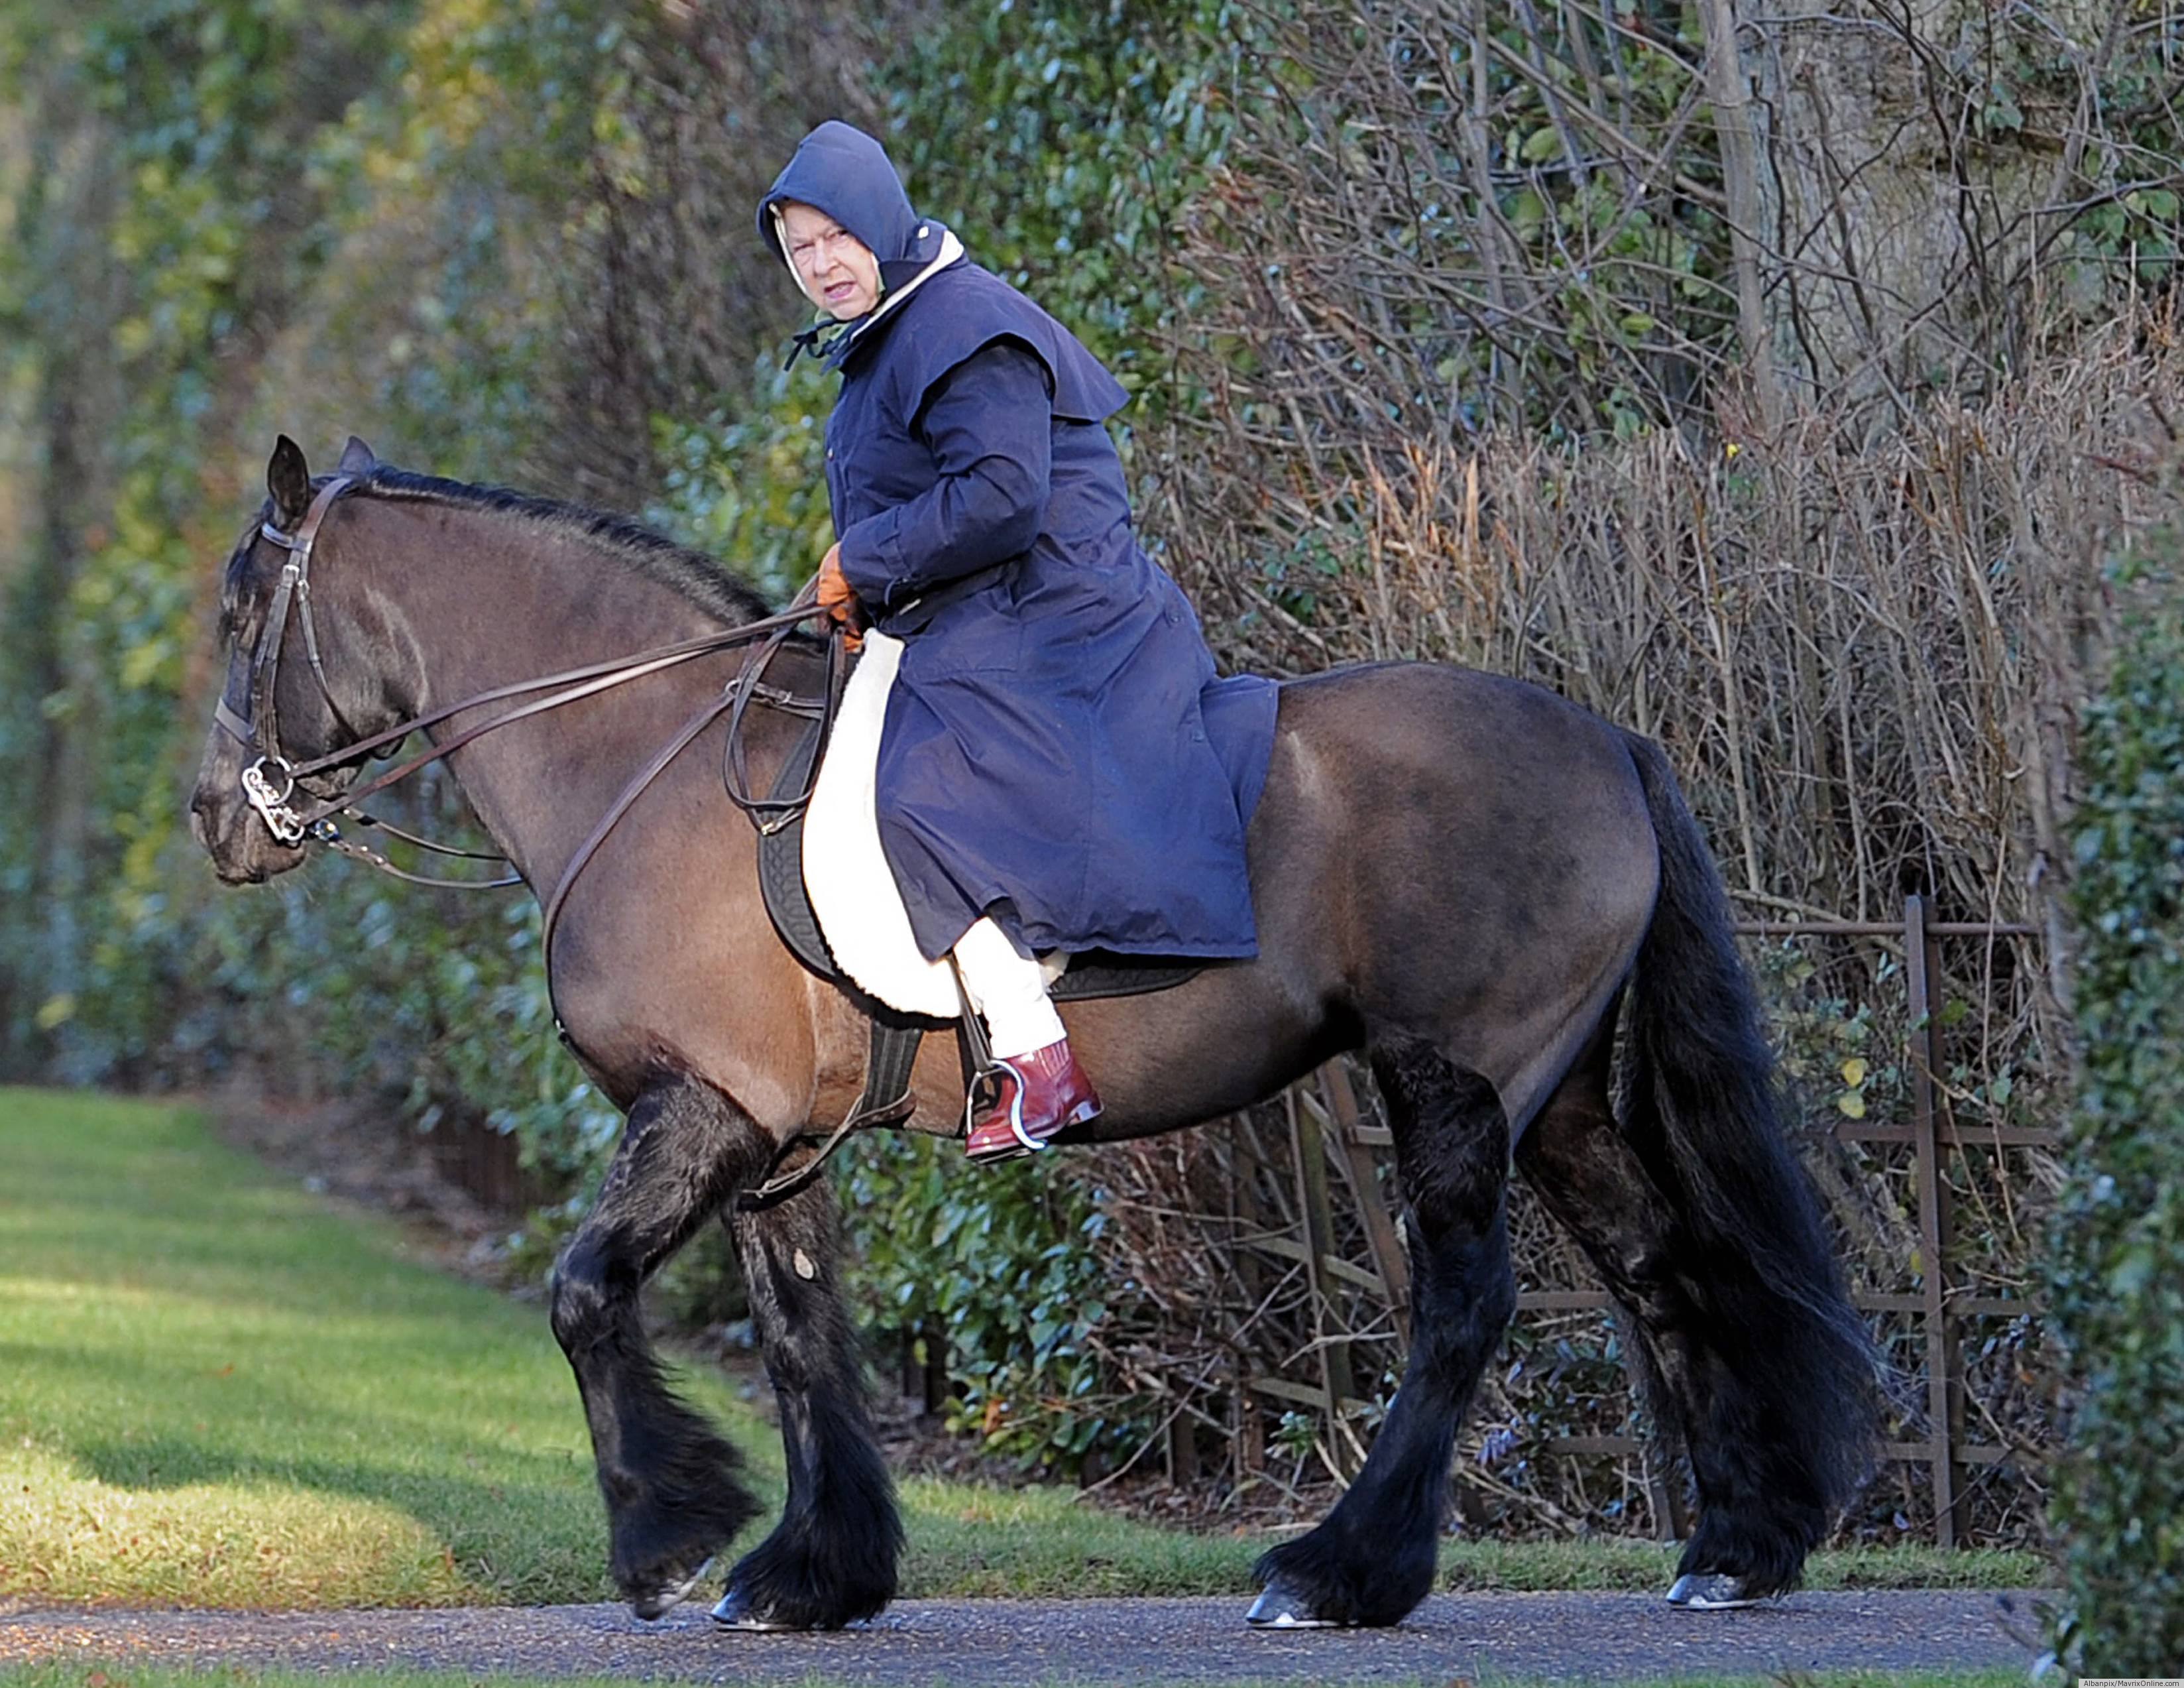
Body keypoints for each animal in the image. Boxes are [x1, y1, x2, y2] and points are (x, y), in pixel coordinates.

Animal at [192, 434, 1878, 1633]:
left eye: (238, 611)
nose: (217, 821)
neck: (640, 753)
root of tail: (1604, 735)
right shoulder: (772, 1145)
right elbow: (802, 1338)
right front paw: (813, 1572)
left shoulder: (698, 1112)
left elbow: (583, 1293)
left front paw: (664, 1537)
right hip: (1560, 1094)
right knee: (1662, 1266)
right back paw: (1735, 1544)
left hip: (1450, 1081)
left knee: (1463, 1308)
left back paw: (1338, 1571)